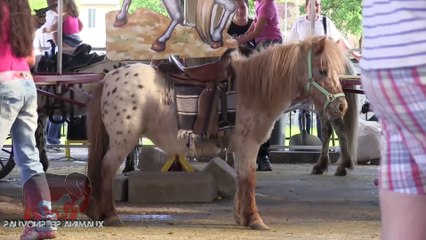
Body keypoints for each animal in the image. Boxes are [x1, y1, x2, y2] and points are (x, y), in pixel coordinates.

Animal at [85, 36, 352, 229]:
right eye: (322, 70)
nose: (341, 106)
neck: (253, 89)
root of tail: (109, 78)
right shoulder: (248, 145)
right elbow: (250, 179)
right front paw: (255, 220)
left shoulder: (241, 149)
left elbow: (241, 180)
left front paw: (241, 217)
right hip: (123, 139)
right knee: (106, 169)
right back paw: (111, 216)